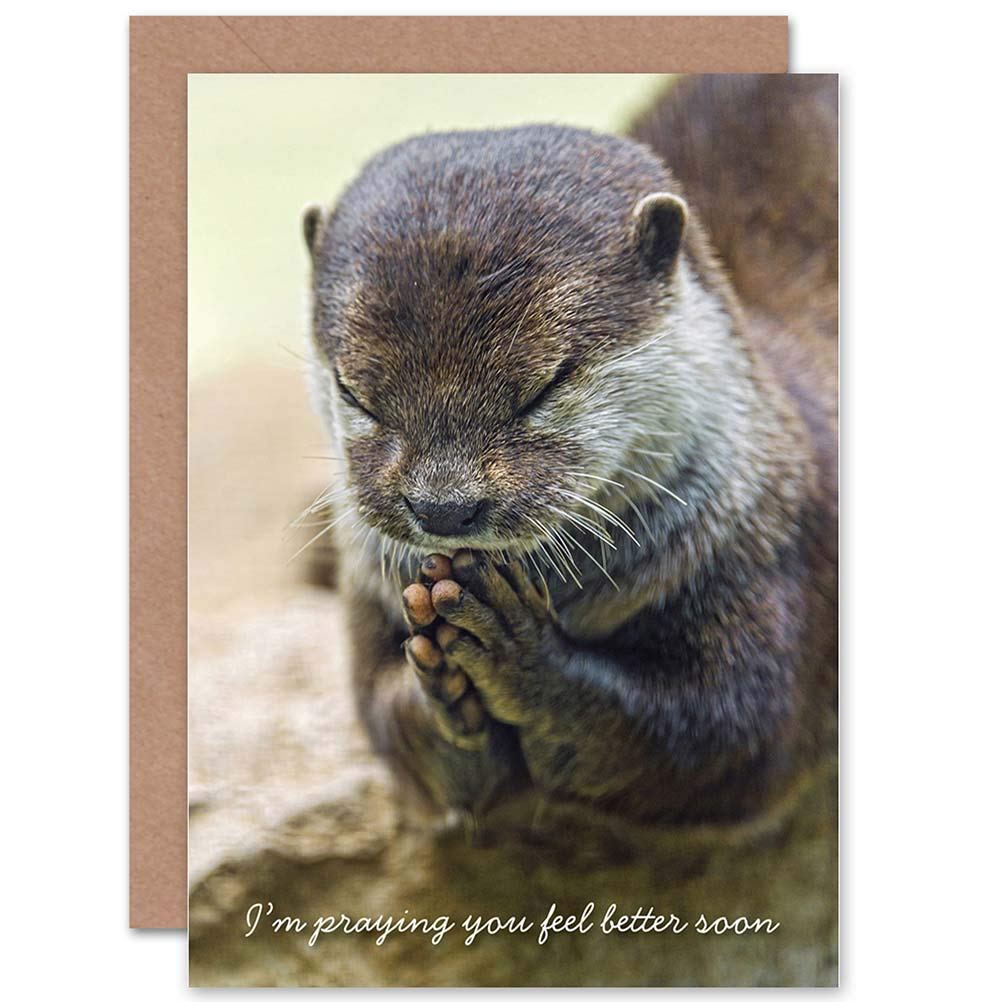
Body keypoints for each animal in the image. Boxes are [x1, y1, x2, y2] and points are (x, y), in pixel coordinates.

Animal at [300, 75, 837, 826]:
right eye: (355, 393)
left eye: (543, 386)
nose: (443, 508)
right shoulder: (370, 594)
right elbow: (395, 728)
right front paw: (442, 690)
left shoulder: (769, 559)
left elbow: (723, 736)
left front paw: (519, 653)